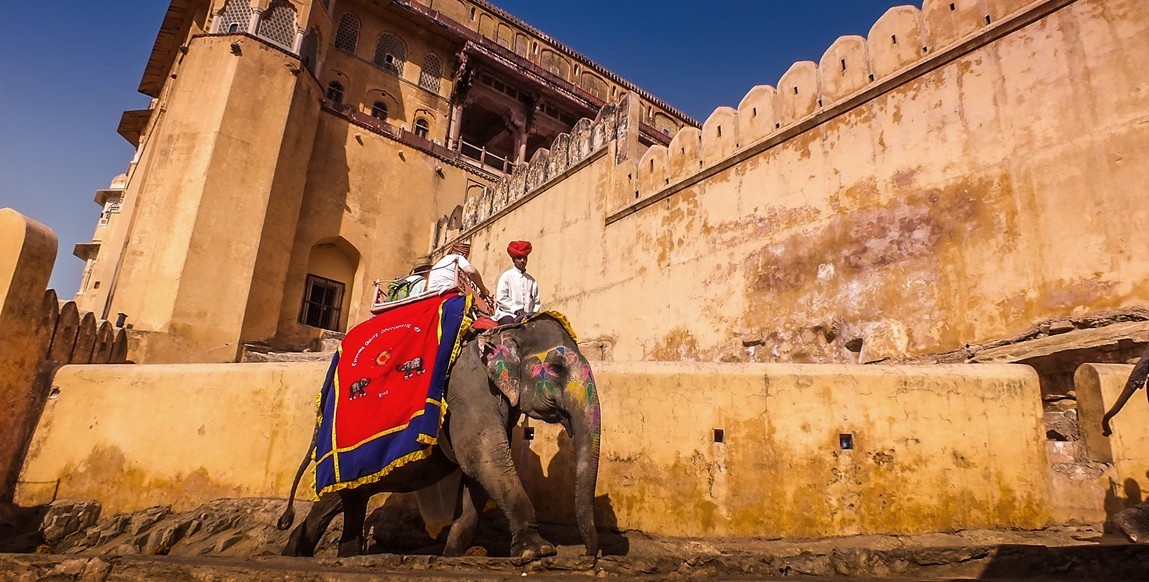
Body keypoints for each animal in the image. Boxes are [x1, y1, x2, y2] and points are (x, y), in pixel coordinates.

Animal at [276, 314, 602, 560]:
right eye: (557, 368)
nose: (592, 555)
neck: (508, 329)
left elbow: (478, 475)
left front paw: (455, 554)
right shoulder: (469, 387)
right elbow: (486, 459)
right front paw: (537, 552)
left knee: (349, 498)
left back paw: (328, 553)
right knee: (339, 497)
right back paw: (301, 553)